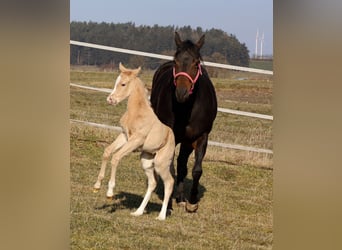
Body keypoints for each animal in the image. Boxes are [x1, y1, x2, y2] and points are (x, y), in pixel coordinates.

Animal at [93, 63, 174, 221]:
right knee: (152, 183)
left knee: (169, 182)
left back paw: (161, 216)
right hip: (146, 160)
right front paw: (97, 185)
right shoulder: (124, 136)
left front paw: (110, 192)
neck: (136, 113)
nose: (110, 100)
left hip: (161, 164)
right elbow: (107, 152)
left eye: (123, 84)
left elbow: (116, 157)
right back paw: (138, 212)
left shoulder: (136, 140)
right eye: (116, 82)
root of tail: (172, 136)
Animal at [150, 30, 216, 211]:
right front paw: (168, 203)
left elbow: (196, 170)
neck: (187, 109)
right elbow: (170, 167)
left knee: (182, 164)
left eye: (196, 63)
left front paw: (192, 202)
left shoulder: (201, 136)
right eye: (176, 61)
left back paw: (180, 197)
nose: (181, 92)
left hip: (187, 141)